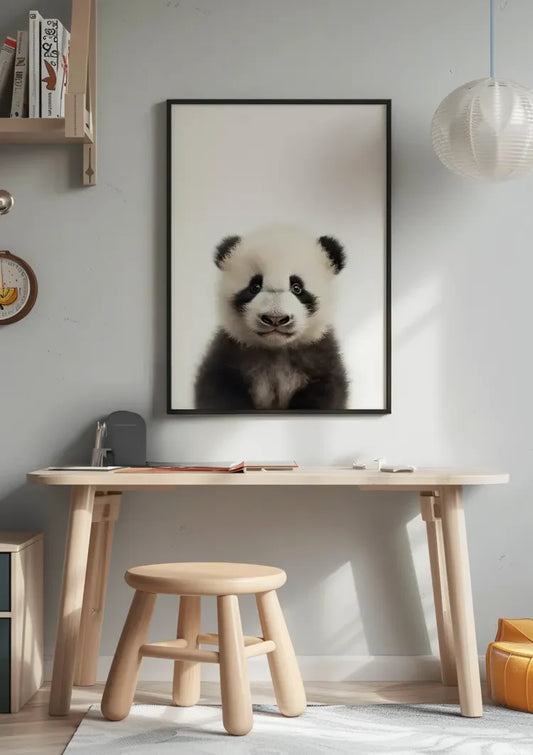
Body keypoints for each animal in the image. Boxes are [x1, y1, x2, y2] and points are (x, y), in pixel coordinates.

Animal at [194, 225, 349, 411]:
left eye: (297, 288)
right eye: (254, 286)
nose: (275, 318)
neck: (275, 350)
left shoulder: (319, 359)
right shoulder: (230, 354)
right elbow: (218, 391)